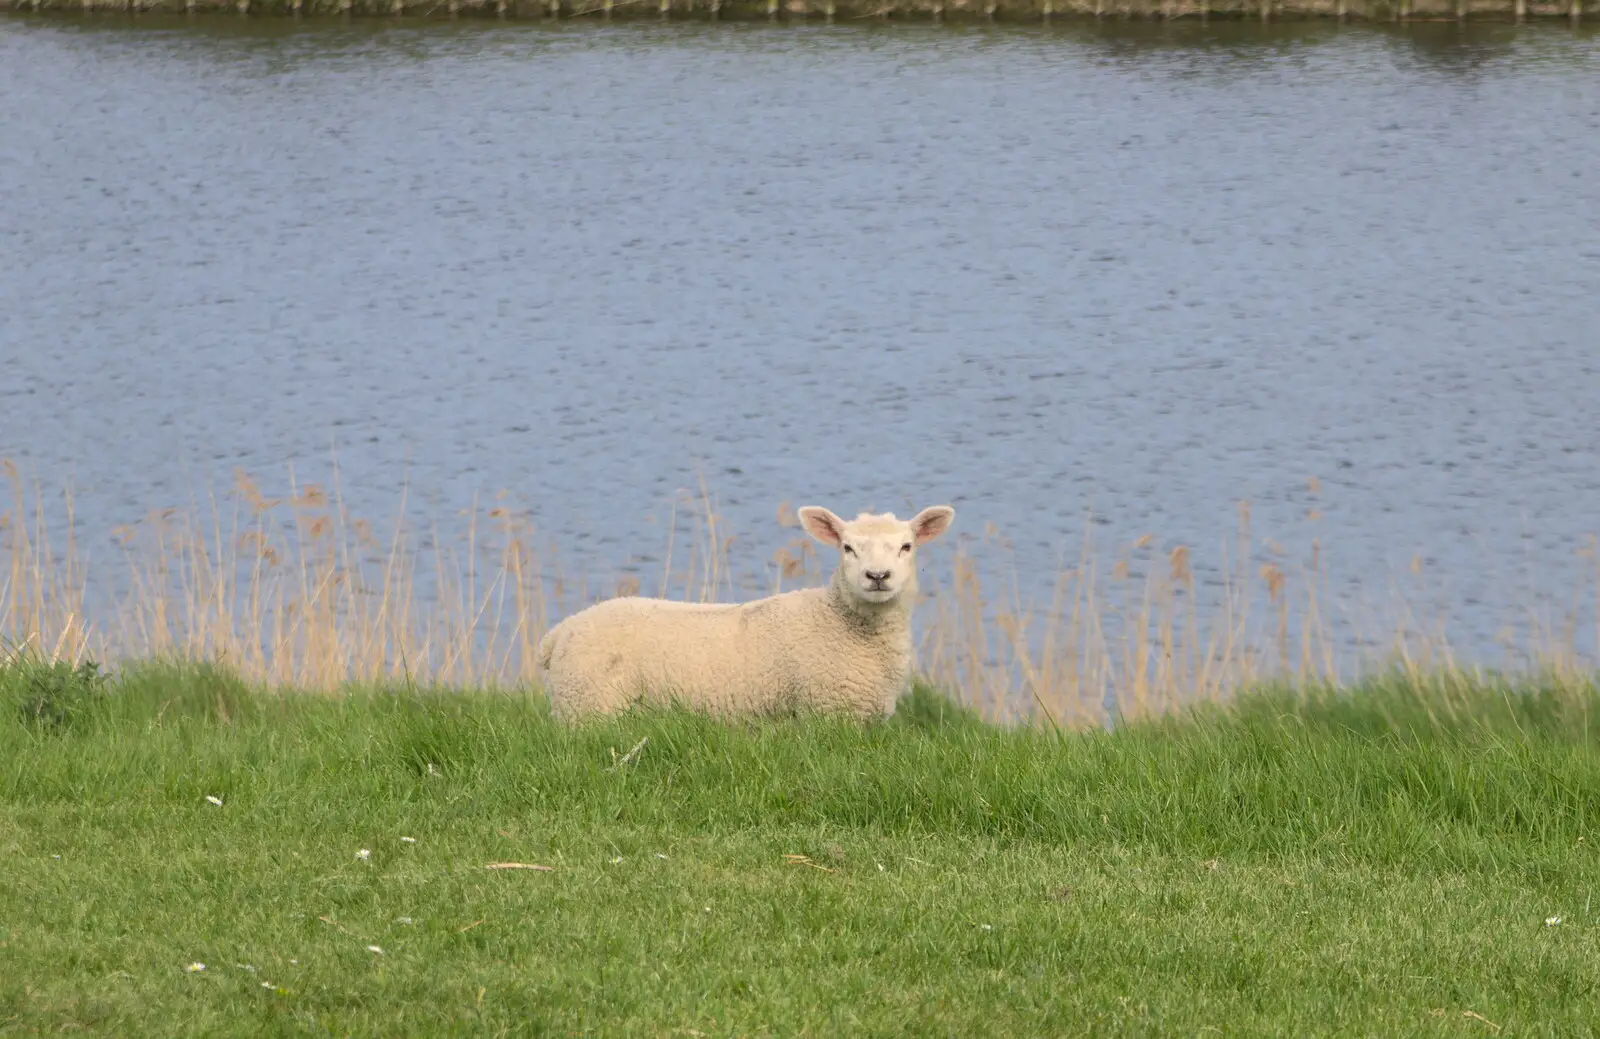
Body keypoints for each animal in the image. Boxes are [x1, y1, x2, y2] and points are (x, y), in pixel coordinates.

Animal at [531, 505, 953, 720]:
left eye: (907, 547)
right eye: (847, 548)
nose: (877, 576)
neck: (839, 621)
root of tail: (560, 631)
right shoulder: (826, 711)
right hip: (589, 706)